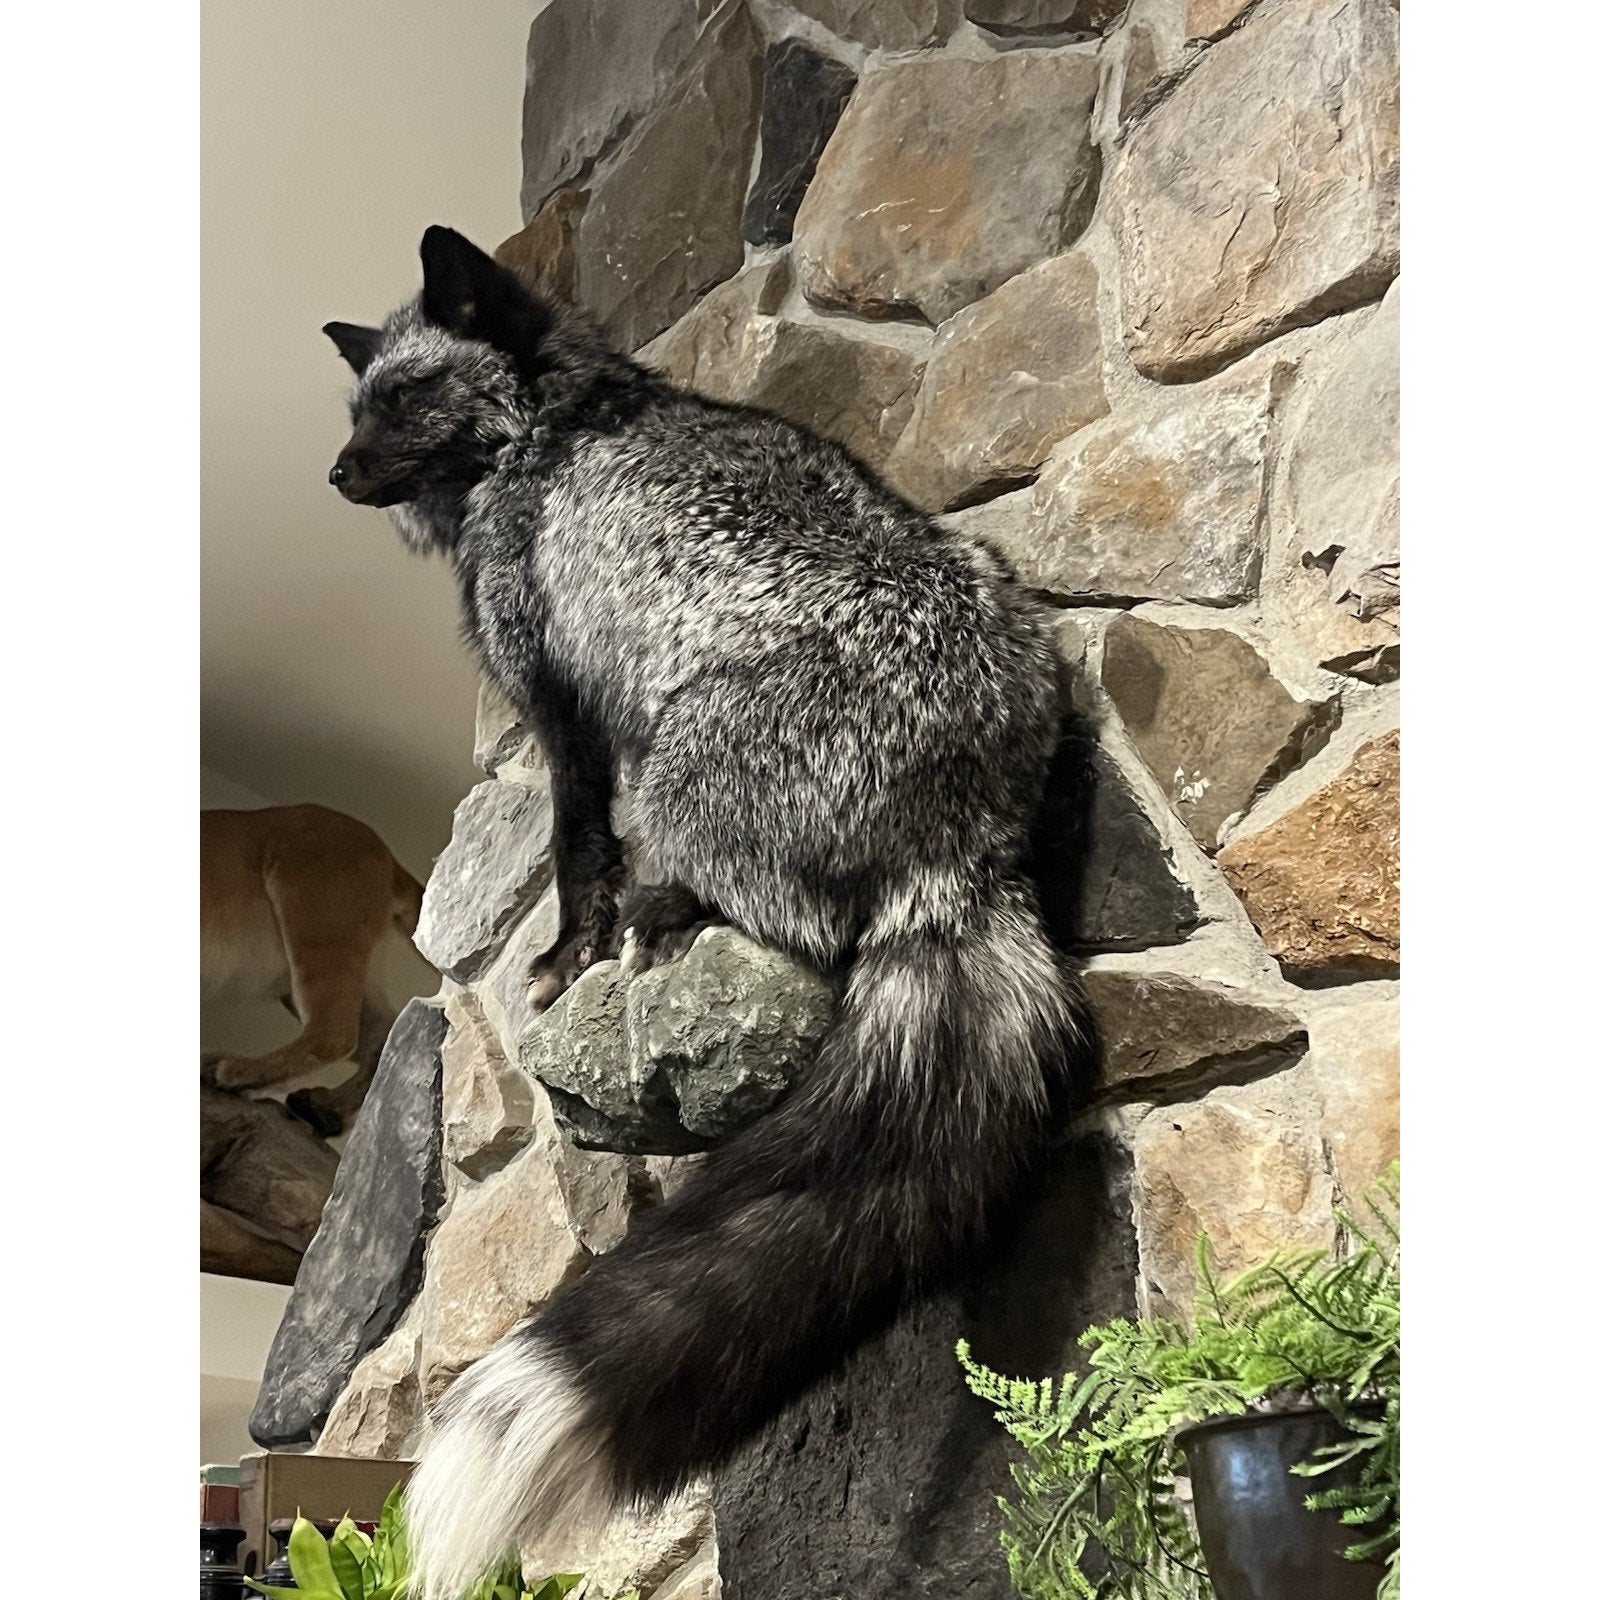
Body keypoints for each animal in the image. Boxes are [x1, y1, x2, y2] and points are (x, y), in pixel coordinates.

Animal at [323, 226, 1082, 1600]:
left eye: (405, 399)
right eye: (357, 405)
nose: (337, 471)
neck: (553, 423)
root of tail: (963, 848)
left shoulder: (558, 702)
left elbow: (578, 854)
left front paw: (567, 953)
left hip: (682, 763)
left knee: (789, 922)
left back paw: (666, 913)